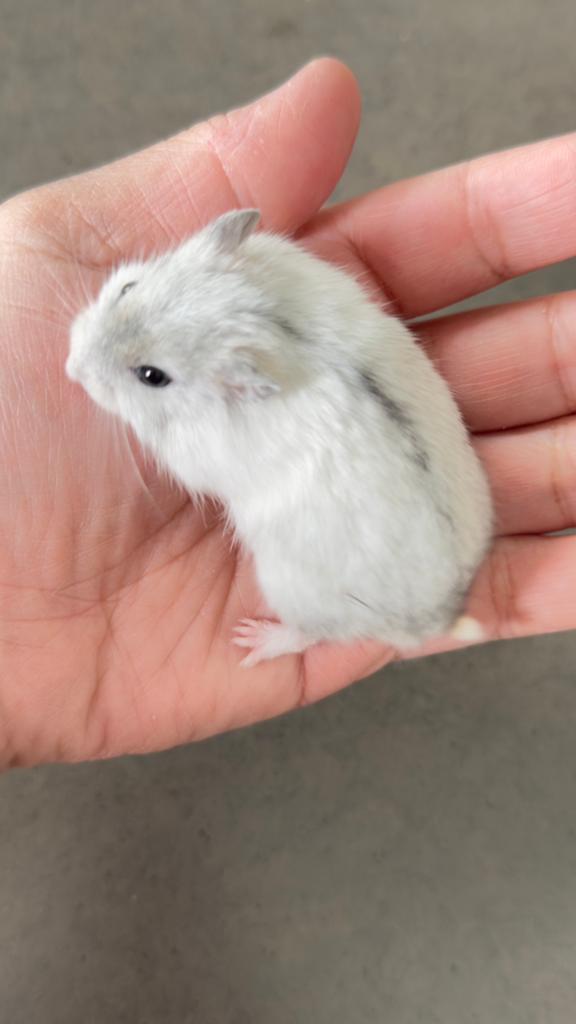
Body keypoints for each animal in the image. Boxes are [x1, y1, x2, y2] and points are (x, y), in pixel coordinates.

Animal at [66, 209, 493, 666]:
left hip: (291, 591)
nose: (70, 368)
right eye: (127, 287)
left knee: (311, 635)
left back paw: (253, 641)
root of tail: (442, 616)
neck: (267, 323)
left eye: (152, 376)